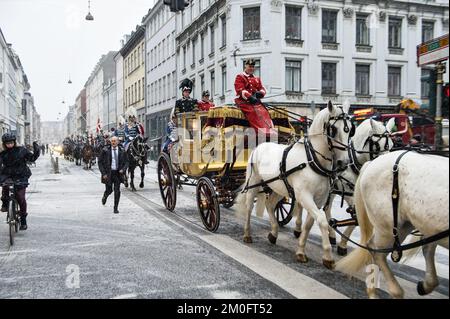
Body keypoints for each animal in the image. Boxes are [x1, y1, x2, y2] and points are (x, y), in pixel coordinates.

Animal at [236, 101, 352, 268]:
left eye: (351, 130)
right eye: (333, 129)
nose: (344, 163)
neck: (312, 160)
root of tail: (260, 146)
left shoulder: (319, 200)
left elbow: (309, 224)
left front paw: (301, 250)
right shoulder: (304, 196)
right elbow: (322, 220)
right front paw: (328, 255)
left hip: (278, 187)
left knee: (270, 205)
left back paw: (273, 233)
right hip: (253, 183)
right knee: (249, 206)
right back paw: (247, 234)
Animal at [336, 151, 448, 298]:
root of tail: (372, 162)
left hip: (421, 225)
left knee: (426, 247)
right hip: (390, 228)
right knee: (375, 250)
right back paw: (390, 291)